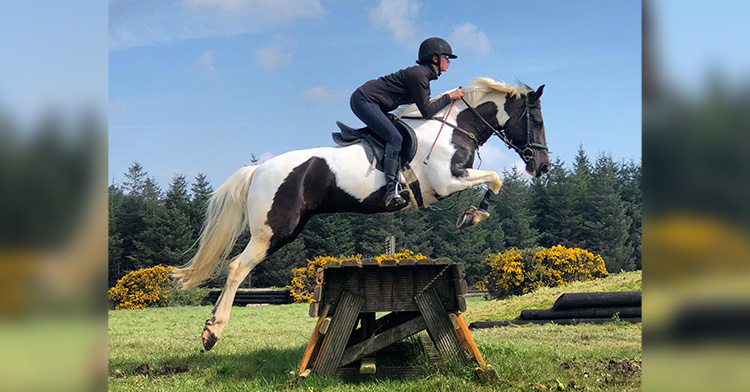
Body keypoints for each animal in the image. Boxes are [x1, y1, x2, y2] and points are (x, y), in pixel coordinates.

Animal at [175, 76, 552, 350]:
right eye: (535, 120)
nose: (543, 166)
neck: (454, 127)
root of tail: (258, 169)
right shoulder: (446, 181)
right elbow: (497, 176)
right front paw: (474, 215)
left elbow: (495, 178)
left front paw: (472, 214)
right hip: (275, 231)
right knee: (237, 267)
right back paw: (212, 332)